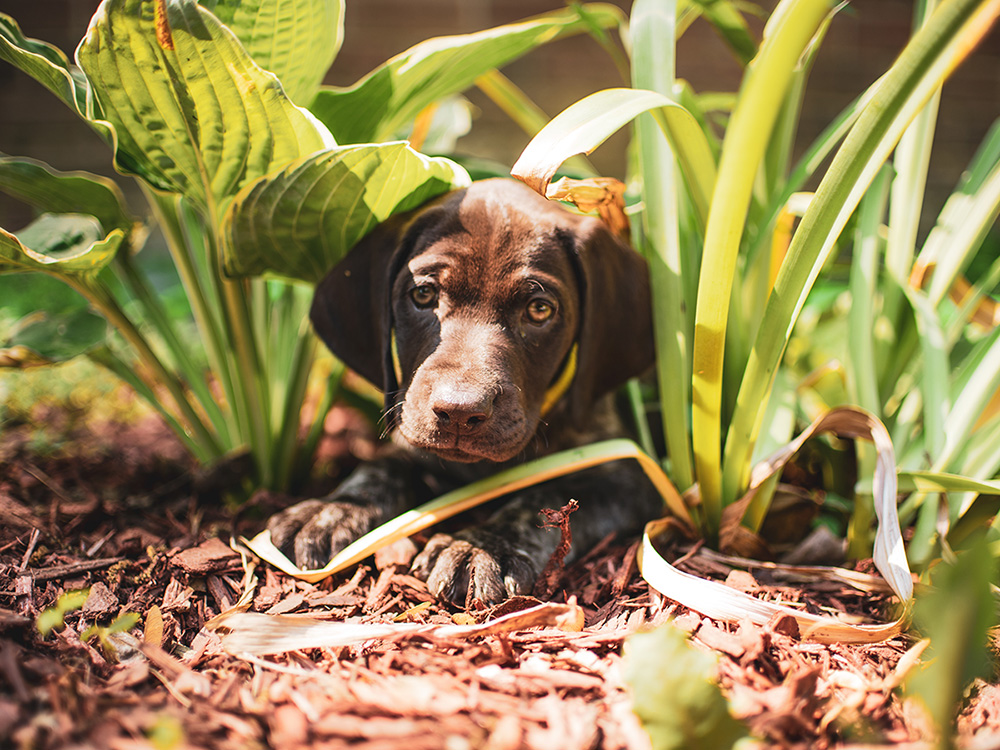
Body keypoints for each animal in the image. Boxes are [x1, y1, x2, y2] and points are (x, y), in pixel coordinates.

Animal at [270, 179, 668, 608]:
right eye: (423, 296)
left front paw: (482, 547)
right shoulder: (416, 438)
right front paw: (332, 510)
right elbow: (382, 467)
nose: (459, 412)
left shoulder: (628, 473)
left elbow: (543, 499)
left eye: (540, 309)